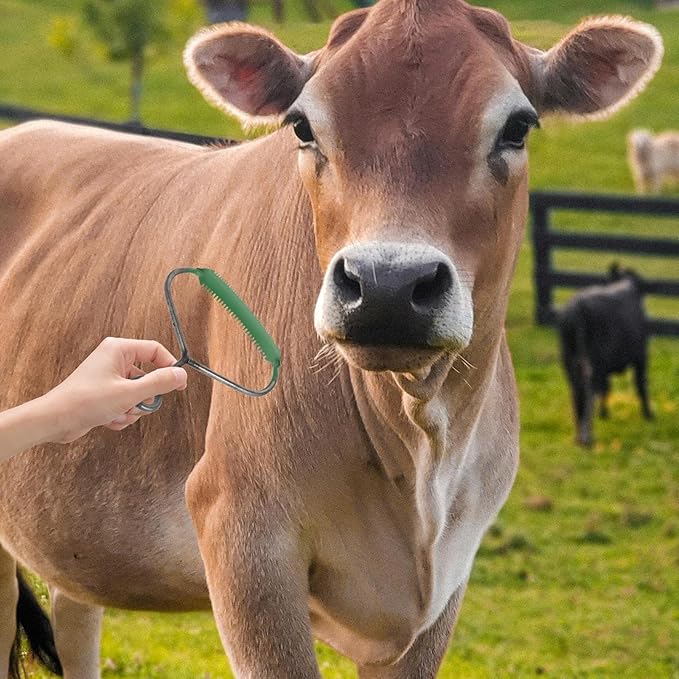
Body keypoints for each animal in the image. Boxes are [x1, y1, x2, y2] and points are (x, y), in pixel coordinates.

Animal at [558, 264, 653, 448]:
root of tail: (578, 306)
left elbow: (606, 388)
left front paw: (604, 413)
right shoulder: (641, 355)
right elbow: (641, 384)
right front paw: (649, 414)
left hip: (569, 361)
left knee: (577, 392)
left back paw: (578, 438)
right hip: (592, 361)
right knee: (589, 390)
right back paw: (587, 438)